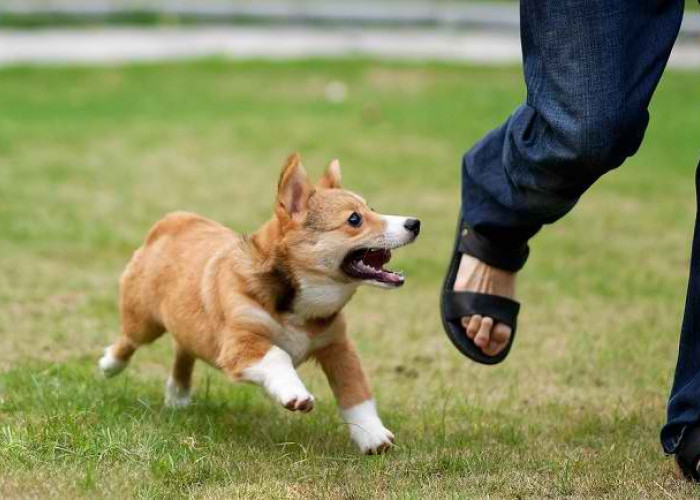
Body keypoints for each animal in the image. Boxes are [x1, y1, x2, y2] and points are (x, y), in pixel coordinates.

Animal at [98, 154, 422, 456]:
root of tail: (174, 222)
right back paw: (110, 364)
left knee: (183, 347)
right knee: (129, 340)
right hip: (144, 322)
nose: (415, 223)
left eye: (372, 208)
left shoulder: (338, 346)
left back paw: (177, 394)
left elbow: (356, 392)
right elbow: (278, 355)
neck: (300, 300)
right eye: (354, 219)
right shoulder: (240, 343)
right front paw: (295, 394)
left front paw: (372, 436)